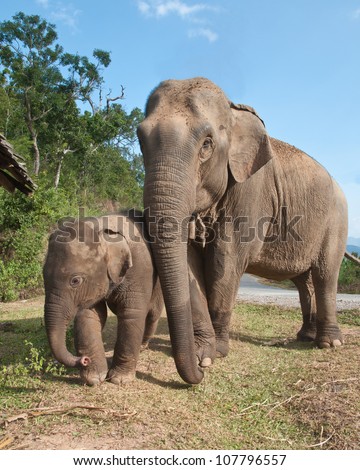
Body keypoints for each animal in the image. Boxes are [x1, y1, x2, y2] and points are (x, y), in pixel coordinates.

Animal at [42, 212, 165, 386]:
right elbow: (89, 315)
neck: (99, 227)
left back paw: (142, 346)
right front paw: (94, 379)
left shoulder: (139, 270)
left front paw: (120, 380)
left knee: (152, 314)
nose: (84, 359)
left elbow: (131, 314)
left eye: (75, 281)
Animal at [139, 78, 348, 386]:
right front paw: (205, 354)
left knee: (325, 274)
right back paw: (305, 337)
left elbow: (225, 260)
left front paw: (216, 353)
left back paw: (329, 344)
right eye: (140, 139)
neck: (233, 112)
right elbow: (189, 262)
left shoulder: (252, 190)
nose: (199, 373)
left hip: (336, 222)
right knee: (303, 281)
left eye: (207, 143)